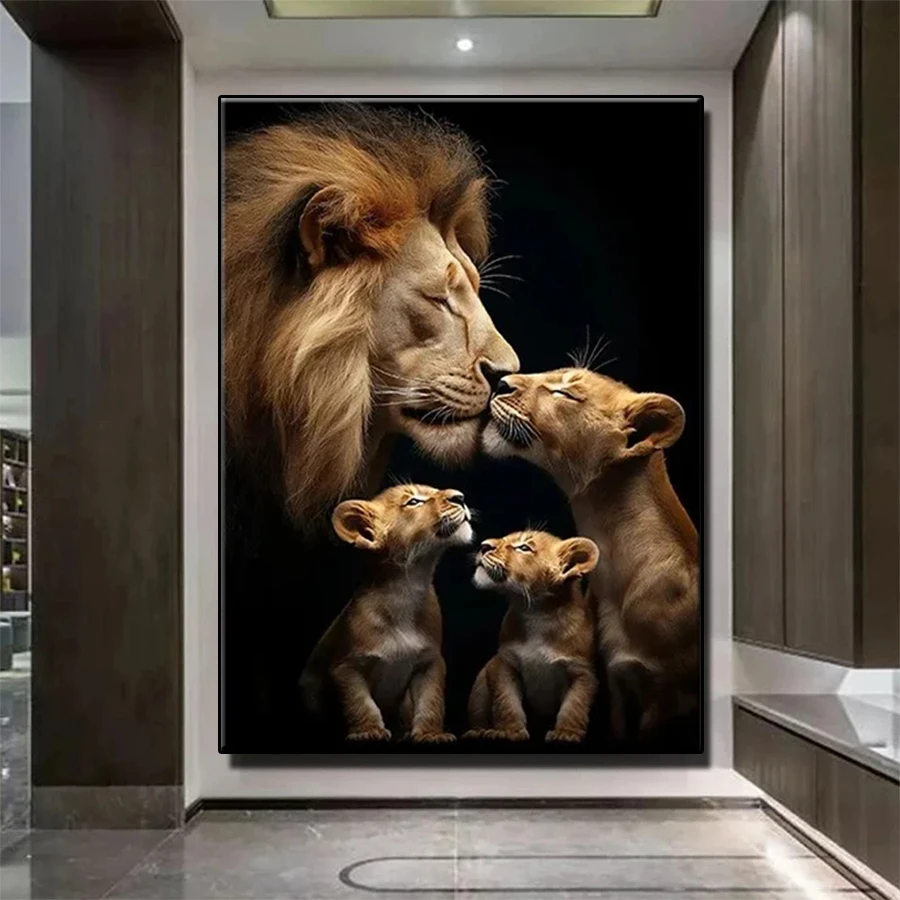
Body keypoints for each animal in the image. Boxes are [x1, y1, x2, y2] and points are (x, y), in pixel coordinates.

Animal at [299, 484, 473, 743]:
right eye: (413, 502)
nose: (459, 497)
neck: (406, 587)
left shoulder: (430, 661)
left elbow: (430, 701)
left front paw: (430, 734)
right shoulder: (345, 667)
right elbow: (360, 703)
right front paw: (369, 731)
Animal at [464, 530, 599, 744]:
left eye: (524, 548)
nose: (484, 545)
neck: (537, 613)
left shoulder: (582, 672)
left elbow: (574, 706)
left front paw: (566, 733)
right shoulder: (505, 664)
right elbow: (507, 703)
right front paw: (509, 732)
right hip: (480, 681)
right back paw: (478, 732)